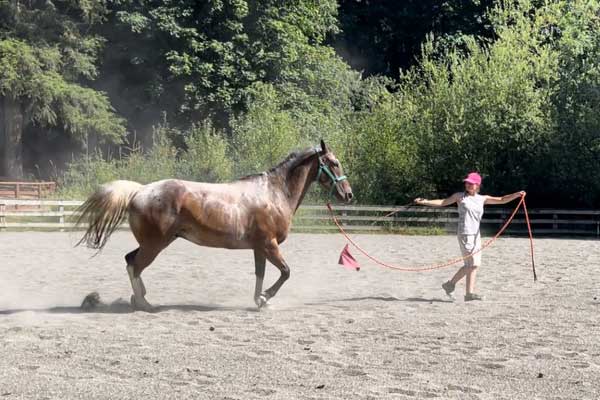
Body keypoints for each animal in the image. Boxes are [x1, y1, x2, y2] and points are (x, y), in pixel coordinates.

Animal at [77, 139, 354, 310]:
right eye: (334, 163)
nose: (349, 194)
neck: (274, 194)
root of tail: (140, 190)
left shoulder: (260, 247)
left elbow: (260, 274)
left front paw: (260, 300)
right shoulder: (270, 244)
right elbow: (286, 272)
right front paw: (265, 298)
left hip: (154, 243)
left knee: (130, 261)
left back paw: (139, 298)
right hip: (155, 244)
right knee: (135, 265)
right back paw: (144, 303)